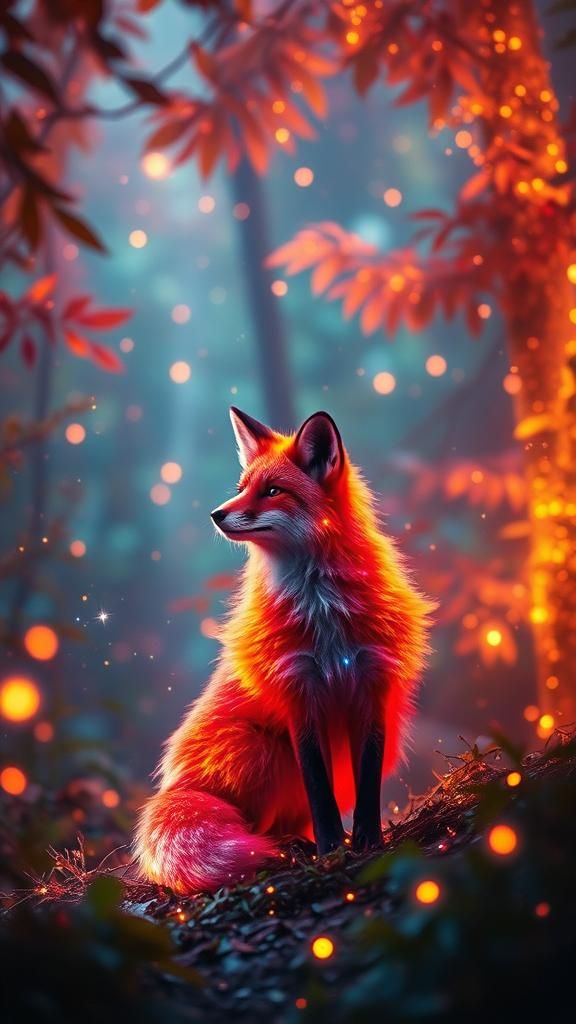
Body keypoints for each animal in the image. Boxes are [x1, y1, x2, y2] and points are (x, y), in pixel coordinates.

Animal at [134, 408, 433, 893]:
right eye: (241, 487)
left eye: (273, 491)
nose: (216, 514)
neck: (325, 617)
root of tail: (174, 786)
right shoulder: (297, 691)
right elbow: (320, 791)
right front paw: (332, 850)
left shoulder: (370, 685)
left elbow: (366, 785)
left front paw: (368, 842)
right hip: (261, 749)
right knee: (260, 829)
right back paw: (289, 848)